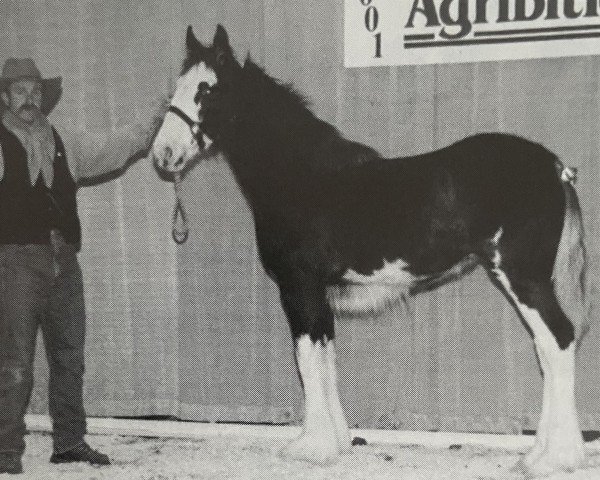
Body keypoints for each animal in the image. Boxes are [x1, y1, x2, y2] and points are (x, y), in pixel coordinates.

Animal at [151, 25, 592, 476]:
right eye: (177, 86)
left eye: (206, 90)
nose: (163, 154)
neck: (301, 179)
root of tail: (553, 166)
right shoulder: (320, 293)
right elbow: (325, 358)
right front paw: (337, 442)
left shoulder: (299, 287)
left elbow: (306, 359)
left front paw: (311, 447)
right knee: (548, 346)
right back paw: (543, 453)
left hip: (522, 275)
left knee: (557, 341)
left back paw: (553, 458)